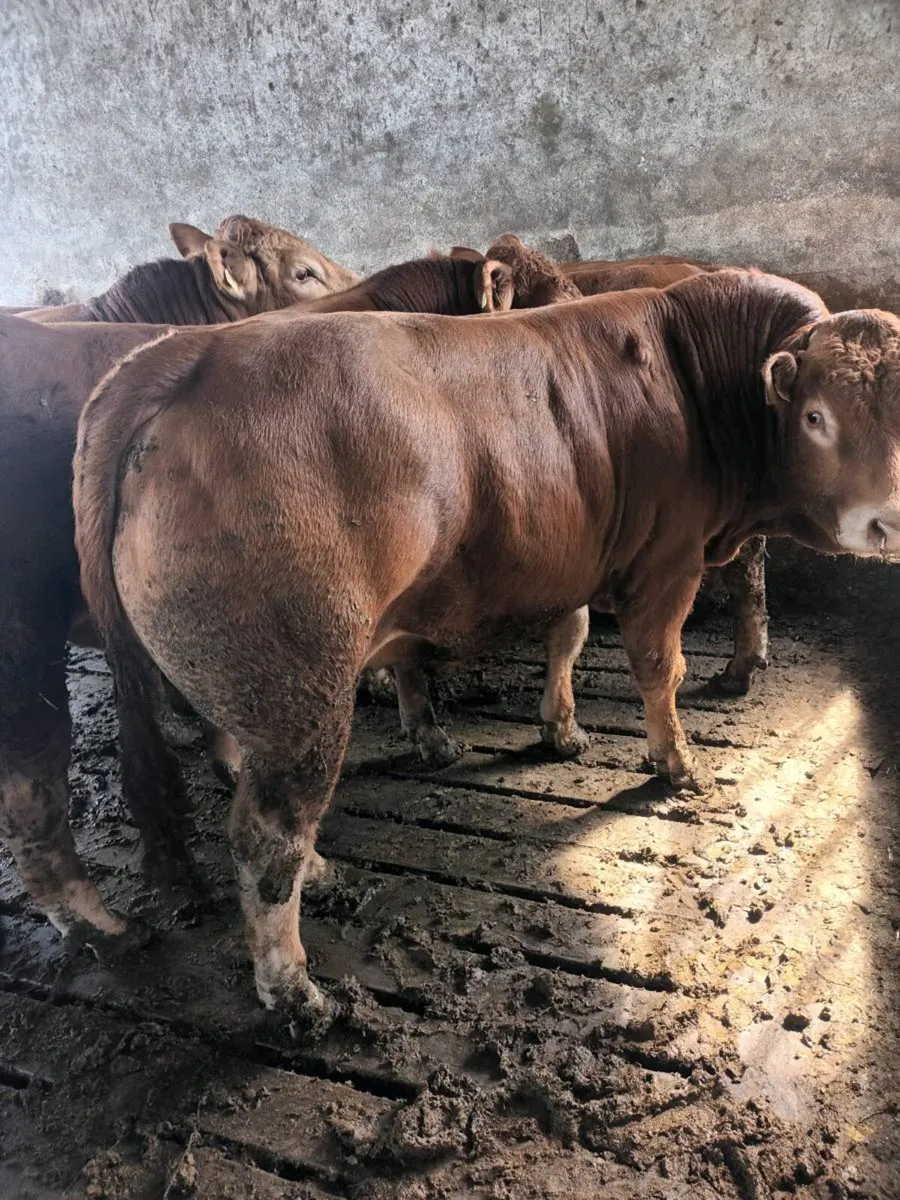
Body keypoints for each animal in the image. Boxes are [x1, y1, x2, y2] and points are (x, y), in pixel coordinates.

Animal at [73, 269, 900, 1015]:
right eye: (816, 416)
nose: (885, 522)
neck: (689, 372)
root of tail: (195, 352)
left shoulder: (575, 552)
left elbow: (569, 632)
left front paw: (560, 727)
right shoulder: (667, 562)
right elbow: (658, 668)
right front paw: (675, 763)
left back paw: (321, 874)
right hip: (297, 691)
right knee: (265, 833)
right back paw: (293, 988)